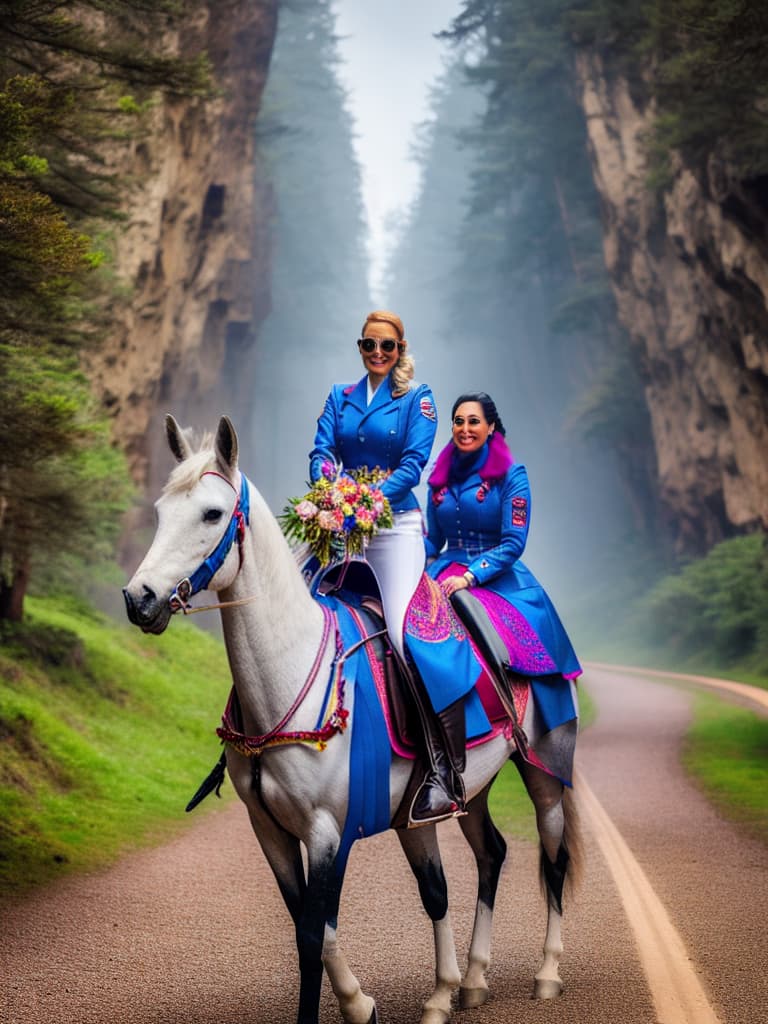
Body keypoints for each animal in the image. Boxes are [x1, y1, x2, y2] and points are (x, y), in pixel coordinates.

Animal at [123, 415, 581, 1024]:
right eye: (160, 511)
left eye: (212, 514)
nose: (139, 598)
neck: (291, 670)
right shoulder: (268, 830)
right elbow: (312, 927)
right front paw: (360, 1004)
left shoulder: (327, 832)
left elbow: (317, 934)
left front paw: (345, 1005)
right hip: (452, 798)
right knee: (483, 859)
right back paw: (464, 983)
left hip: (546, 771)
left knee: (553, 856)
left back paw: (547, 972)